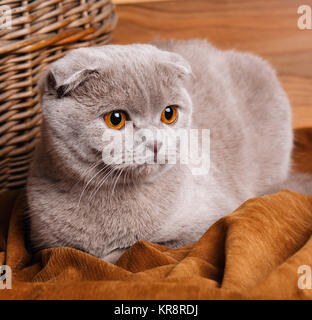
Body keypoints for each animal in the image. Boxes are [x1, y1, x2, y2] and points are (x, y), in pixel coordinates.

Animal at [27, 39, 310, 262]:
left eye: (169, 114)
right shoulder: (48, 245)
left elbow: (135, 249)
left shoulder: (209, 221)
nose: (155, 142)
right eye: (115, 119)